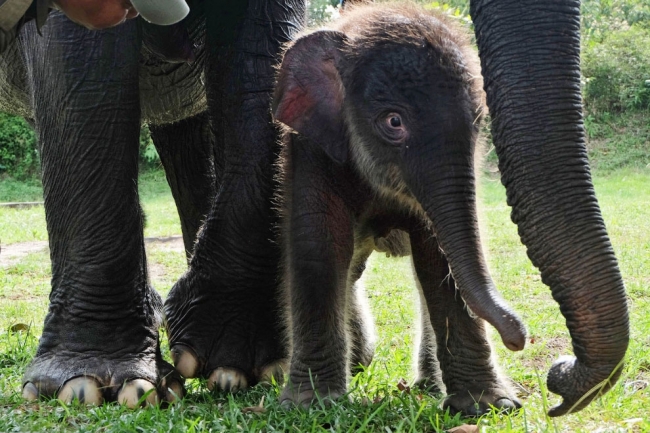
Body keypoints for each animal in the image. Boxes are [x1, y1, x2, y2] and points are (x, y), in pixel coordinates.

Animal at [270, 2, 524, 416]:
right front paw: (311, 405)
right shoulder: (309, 151)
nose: (518, 338)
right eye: (393, 121)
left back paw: (424, 384)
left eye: (479, 120)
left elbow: (438, 257)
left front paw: (488, 405)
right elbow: (319, 247)